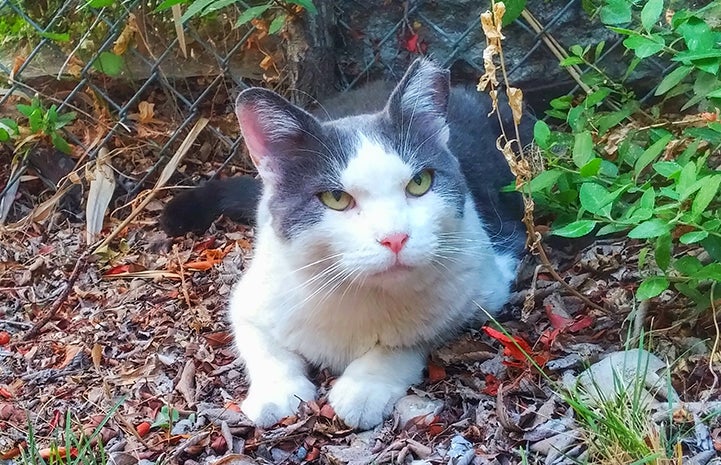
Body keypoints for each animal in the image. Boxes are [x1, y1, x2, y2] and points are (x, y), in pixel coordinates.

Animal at [165, 57, 536, 428]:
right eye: (336, 198)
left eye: (420, 183)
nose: (395, 237)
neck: (357, 293)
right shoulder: (251, 296)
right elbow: (263, 345)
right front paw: (276, 392)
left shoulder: (485, 284)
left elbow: (410, 339)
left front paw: (364, 387)